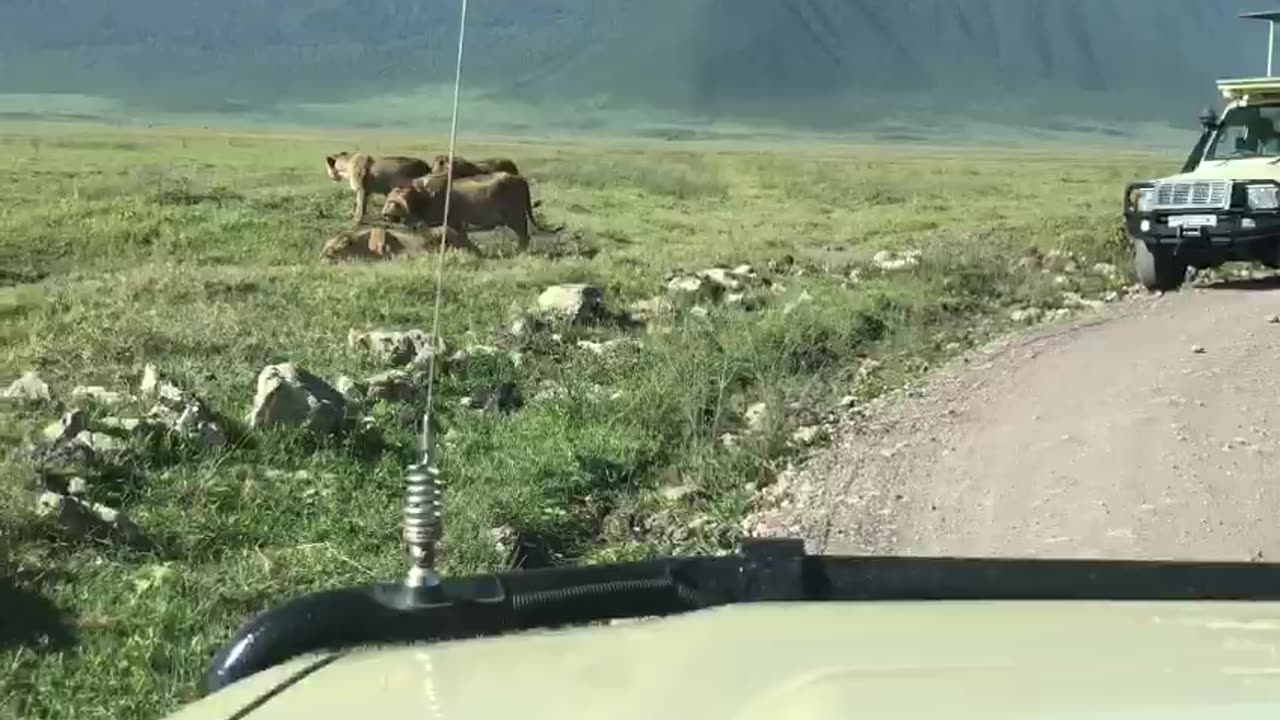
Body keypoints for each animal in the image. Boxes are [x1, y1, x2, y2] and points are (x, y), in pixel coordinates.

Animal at [381, 170, 558, 252]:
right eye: (388, 200)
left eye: (393, 203)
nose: (384, 214)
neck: (421, 196)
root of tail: (521, 179)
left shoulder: (454, 222)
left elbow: (462, 239)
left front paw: (474, 252)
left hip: (515, 217)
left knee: (524, 236)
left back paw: (519, 252)